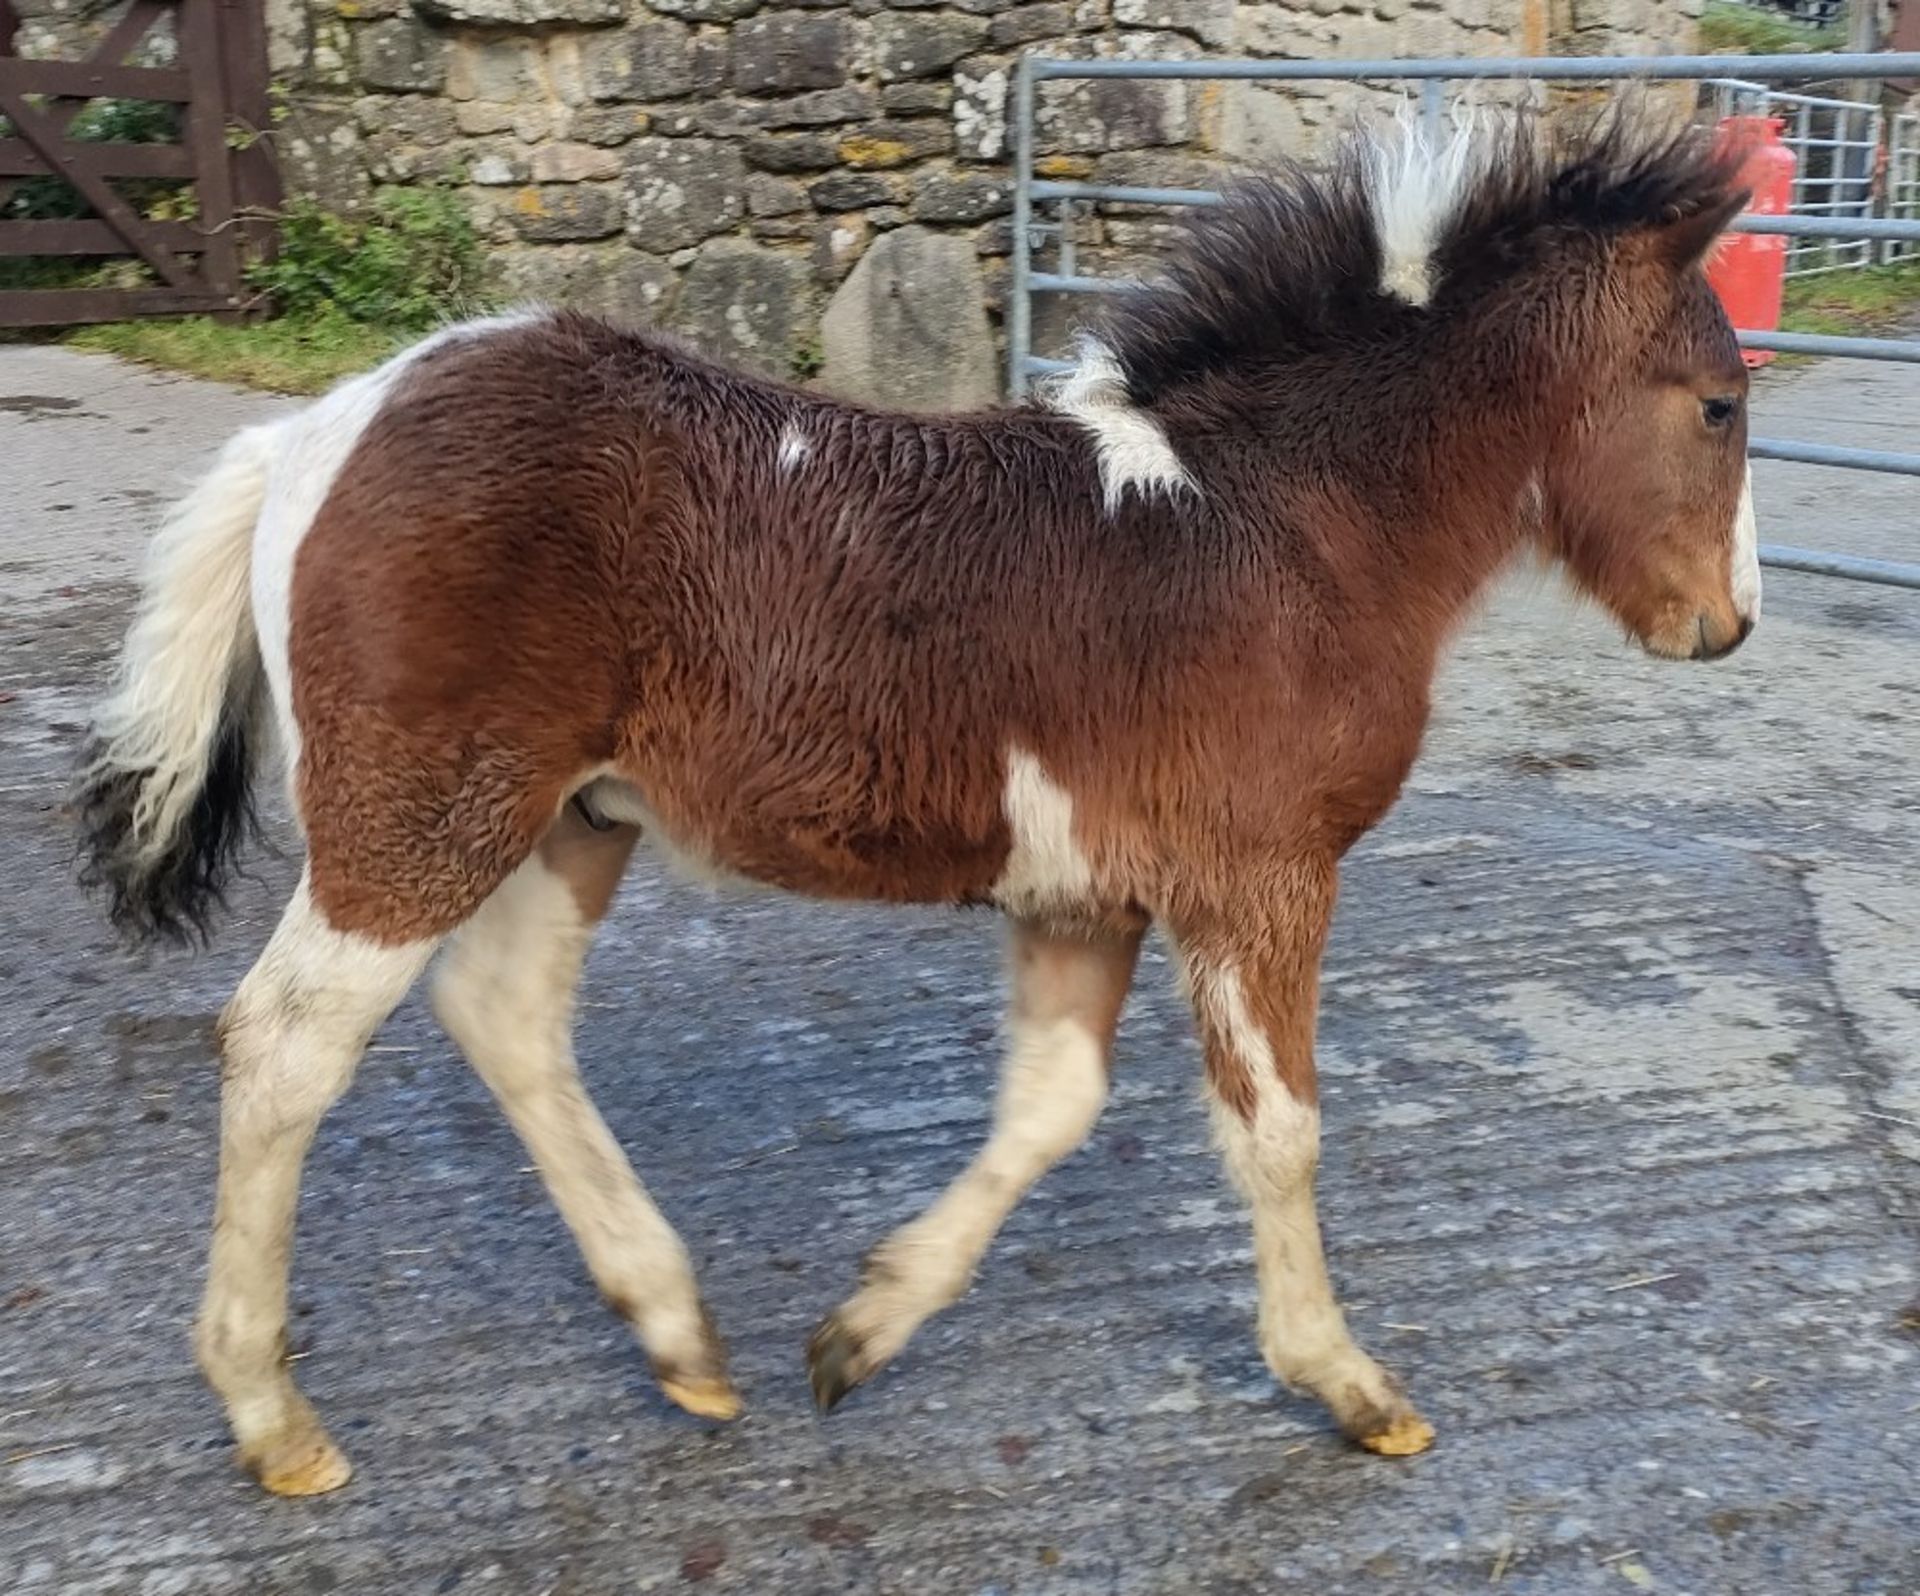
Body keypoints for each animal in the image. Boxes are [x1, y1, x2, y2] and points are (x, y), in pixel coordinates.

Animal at [77, 107, 1760, 1495]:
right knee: (286, 1046)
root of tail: (312, 429)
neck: (1283, 525)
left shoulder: (1086, 893)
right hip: (420, 822)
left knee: (504, 1017)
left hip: (572, 819)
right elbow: (1278, 1129)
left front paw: (864, 1329)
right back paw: (272, 1417)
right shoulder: (1260, 877)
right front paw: (1345, 1382)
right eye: (1719, 407)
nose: (1729, 625)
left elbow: (1050, 1105)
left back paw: (677, 1332)